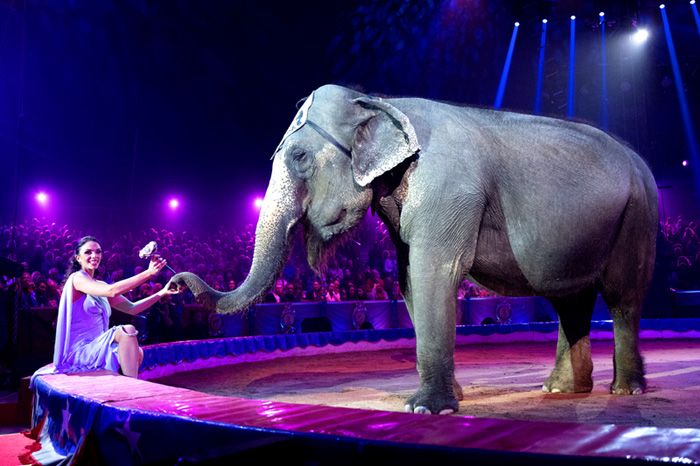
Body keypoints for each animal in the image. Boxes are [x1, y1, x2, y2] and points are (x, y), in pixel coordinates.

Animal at [172, 83, 660, 416]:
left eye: (299, 158)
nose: (175, 279)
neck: (378, 101)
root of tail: (640, 163)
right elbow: (408, 279)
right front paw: (445, 400)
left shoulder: (447, 187)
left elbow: (434, 271)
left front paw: (427, 409)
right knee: (569, 302)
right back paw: (559, 390)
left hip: (637, 216)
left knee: (622, 299)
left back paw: (626, 390)